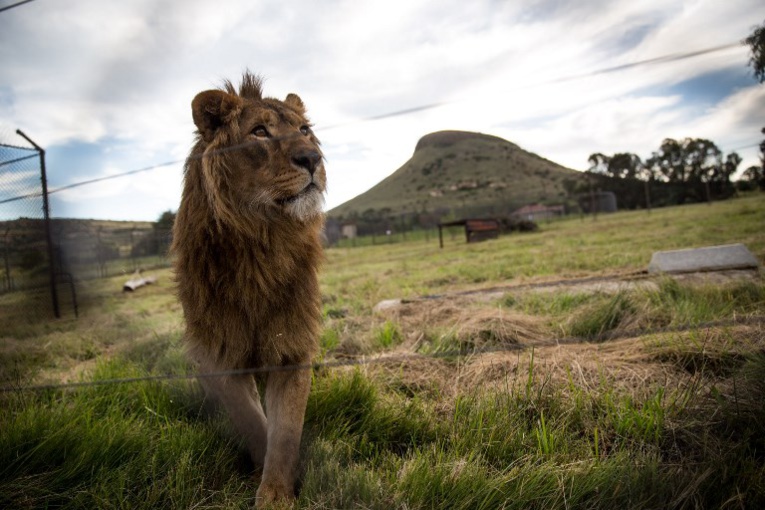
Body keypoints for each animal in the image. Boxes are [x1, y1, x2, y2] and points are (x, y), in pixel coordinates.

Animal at [171, 72, 326, 507]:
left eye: (304, 130)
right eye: (259, 132)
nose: (313, 158)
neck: (261, 241)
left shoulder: (291, 346)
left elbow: (285, 429)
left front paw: (276, 491)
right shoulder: (217, 351)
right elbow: (250, 419)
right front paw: (272, 484)